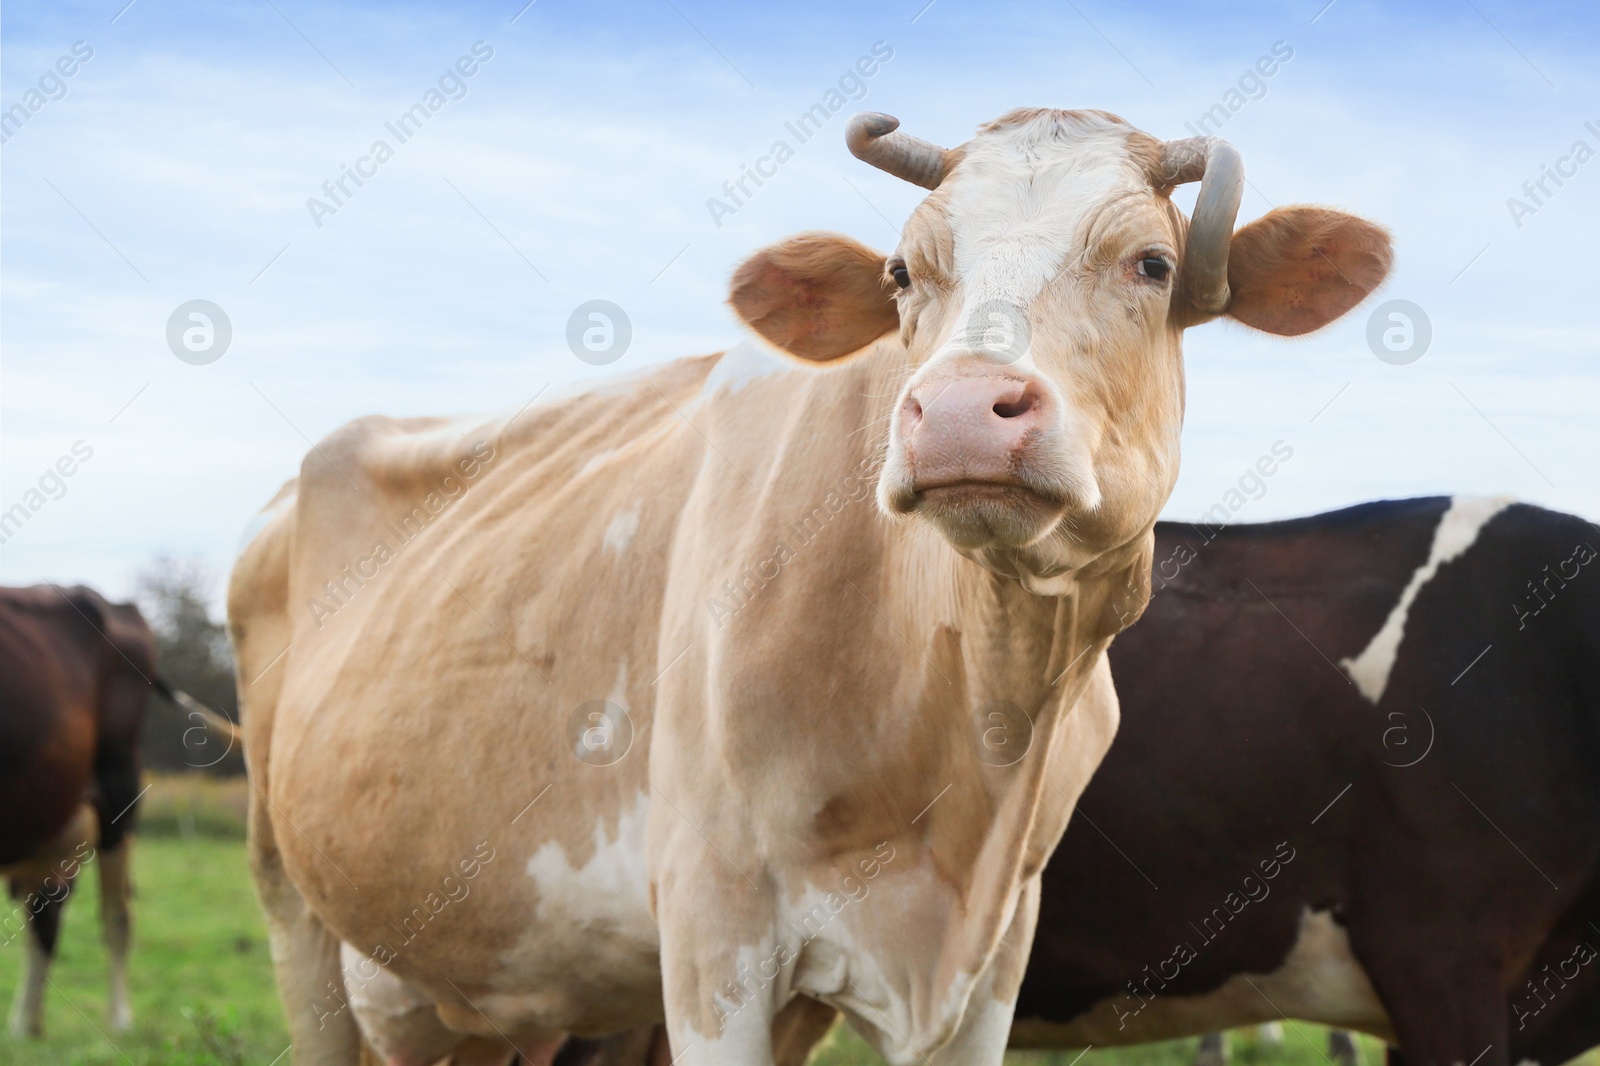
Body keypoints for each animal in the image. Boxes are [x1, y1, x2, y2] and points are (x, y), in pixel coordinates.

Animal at [232, 101, 1395, 1062]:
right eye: (901, 275)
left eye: (1151, 263)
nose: (960, 411)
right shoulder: (713, 935)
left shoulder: (992, 956)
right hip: (295, 911)